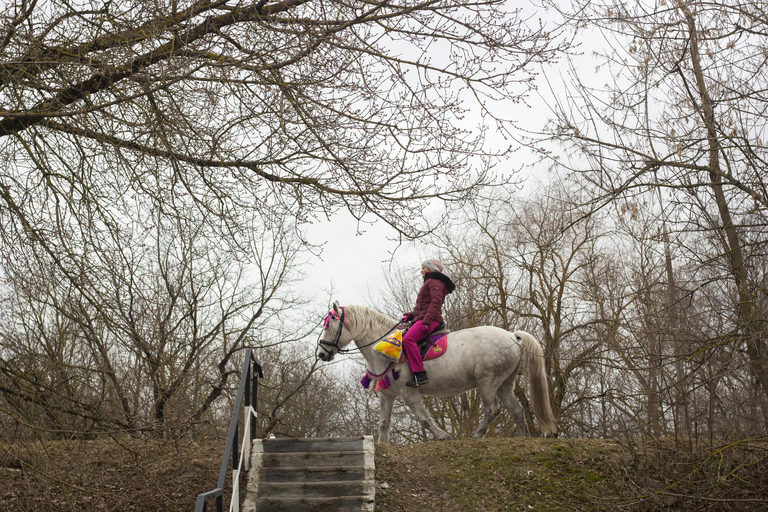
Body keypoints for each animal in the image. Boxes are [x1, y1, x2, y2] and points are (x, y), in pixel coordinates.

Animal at [316, 302, 557, 443]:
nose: (321, 353)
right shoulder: (387, 395)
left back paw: (476, 434)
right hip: (504, 384)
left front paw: (442, 435)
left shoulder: (409, 393)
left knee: (491, 410)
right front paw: (381, 446)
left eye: (329, 326)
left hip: (487, 381)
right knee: (516, 410)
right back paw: (523, 438)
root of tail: (512, 336)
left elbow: (423, 419)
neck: (383, 348)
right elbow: (384, 424)